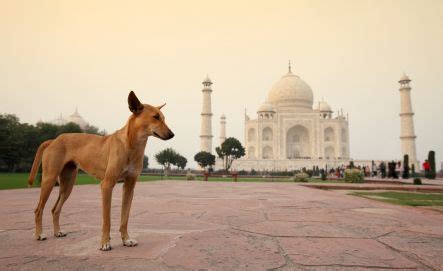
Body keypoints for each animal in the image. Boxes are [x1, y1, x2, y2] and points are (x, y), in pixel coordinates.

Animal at [28, 92, 175, 252]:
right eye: (155, 117)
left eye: (164, 118)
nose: (172, 134)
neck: (131, 145)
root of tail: (54, 140)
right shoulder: (107, 185)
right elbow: (107, 219)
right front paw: (105, 243)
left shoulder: (129, 186)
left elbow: (125, 218)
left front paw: (126, 240)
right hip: (49, 180)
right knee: (38, 210)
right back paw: (39, 234)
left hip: (67, 185)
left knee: (55, 209)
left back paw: (57, 232)